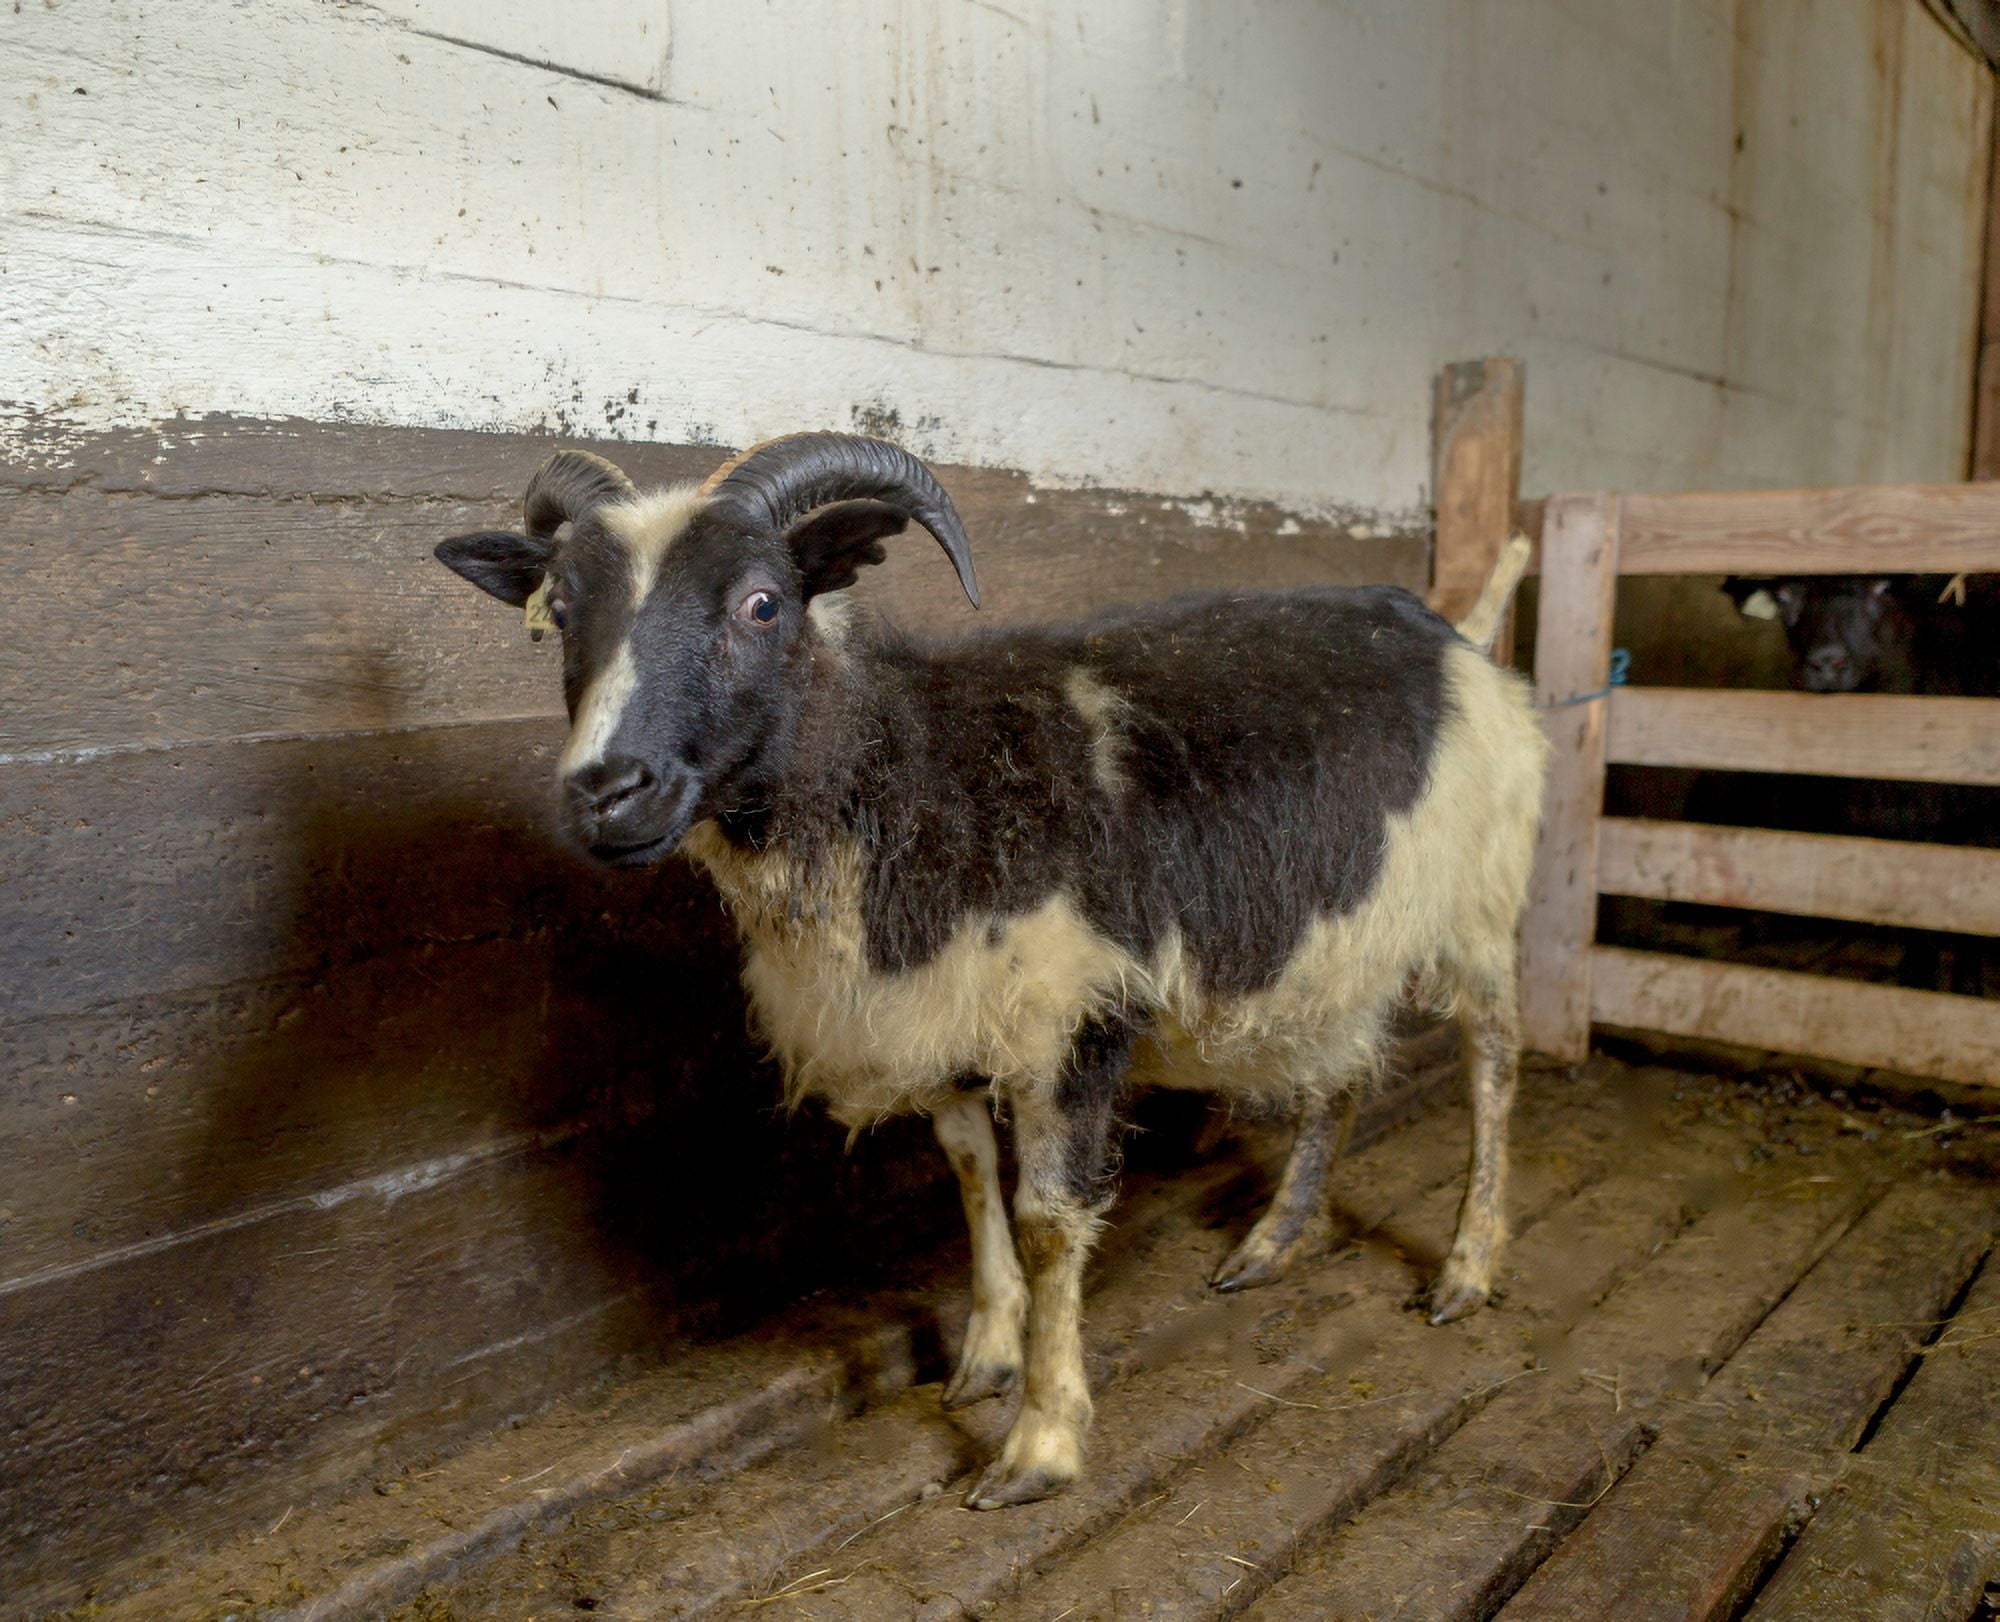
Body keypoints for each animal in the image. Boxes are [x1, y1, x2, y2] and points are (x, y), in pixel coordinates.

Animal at [434, 433, 1549, 1509]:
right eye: (558, 611)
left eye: (761, 601)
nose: (606, 791)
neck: (913, 775)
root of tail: (1450, 632)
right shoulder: (939, 1015)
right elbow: (970, 1177)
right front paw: (987, 1357)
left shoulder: (1077, 1015)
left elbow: (1049, 1221)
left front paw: (1039, 1446)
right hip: (1349, 937)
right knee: (1339, 1078)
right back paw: (1271, 1245)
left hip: (1480, 903)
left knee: (1494, 1064)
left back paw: (1466, 1268)